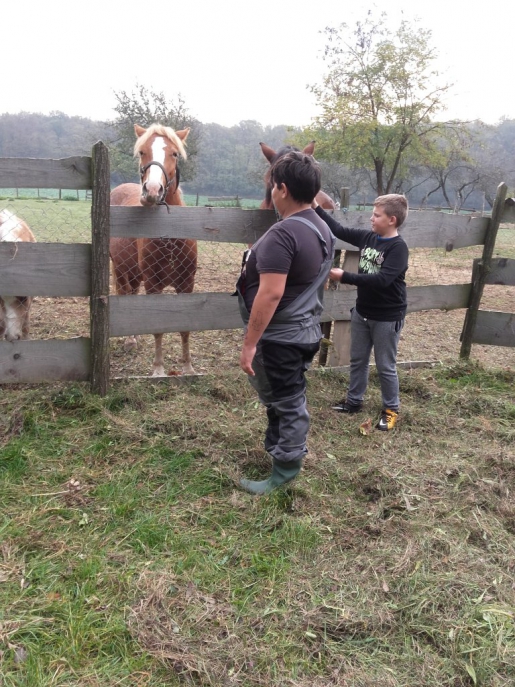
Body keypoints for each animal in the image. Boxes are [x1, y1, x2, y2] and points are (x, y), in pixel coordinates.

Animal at [110, 123, 197, 376]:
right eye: (142, 152)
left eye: (175, 154)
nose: (152, 190)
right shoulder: (153, 283)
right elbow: (158, 328)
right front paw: (158, 369)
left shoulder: (186, 284)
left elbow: (185, 327)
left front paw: (188, 367)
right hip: (121, 270)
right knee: (124, 293)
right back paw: (130, 340)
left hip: (135, 274)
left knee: (133, 294)